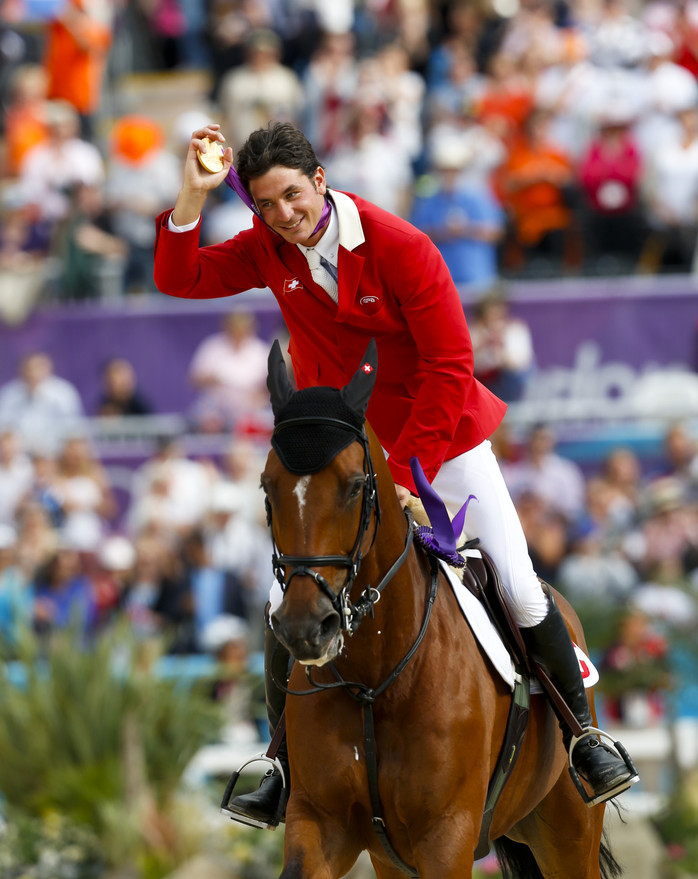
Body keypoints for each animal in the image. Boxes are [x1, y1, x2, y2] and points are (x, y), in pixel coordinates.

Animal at [262, 338, 620, 879]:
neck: (374, 678)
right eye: (267, 487)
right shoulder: (319, 823)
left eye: (354, 485)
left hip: (568, 829)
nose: (306, 628)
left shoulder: (446, 836)